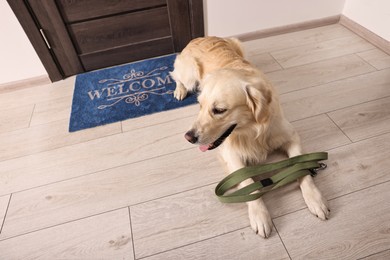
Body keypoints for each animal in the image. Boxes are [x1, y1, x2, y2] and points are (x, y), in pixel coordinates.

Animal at [171, 36, 330, 238]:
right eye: (200, 105)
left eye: (219, 110)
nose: (188, 137)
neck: (253, 131)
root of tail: (201, 37)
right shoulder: (231, 154)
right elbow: (247, 180)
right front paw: (260, 216)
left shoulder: (291, 136)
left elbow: (301, 167)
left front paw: (316, 200)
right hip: (189, 72)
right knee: (176, 76)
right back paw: (179, 90)